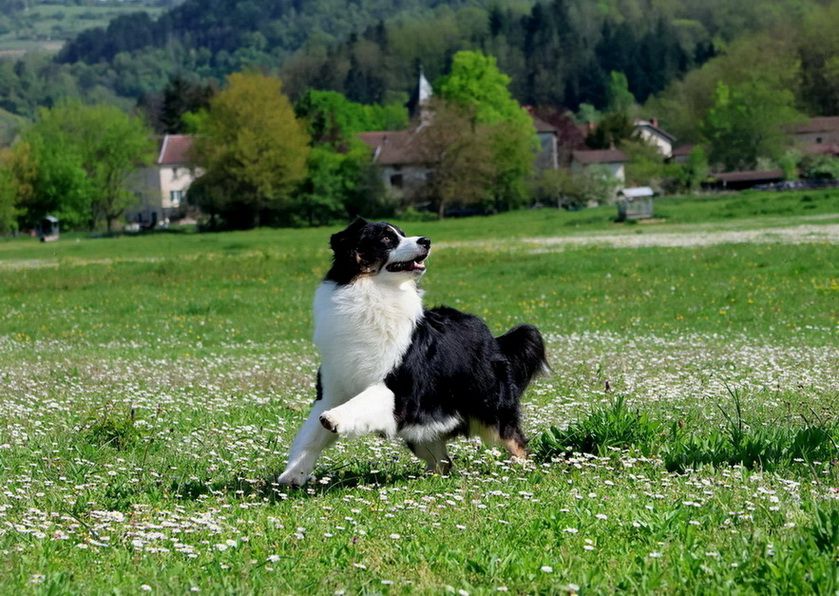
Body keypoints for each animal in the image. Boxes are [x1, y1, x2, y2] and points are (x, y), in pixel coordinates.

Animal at [278, 217, 548, 486]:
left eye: (402, 233)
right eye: (387, 238)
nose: (426, 240)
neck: (373, 291)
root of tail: (492, 336)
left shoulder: (400, 388)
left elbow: (363, 401)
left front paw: (334, 419)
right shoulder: (333, 386)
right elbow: (310, 435)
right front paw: (293, 475)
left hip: (488, 407)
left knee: (515, 441)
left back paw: (524, 471)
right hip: (423, 426)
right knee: (443, 461)